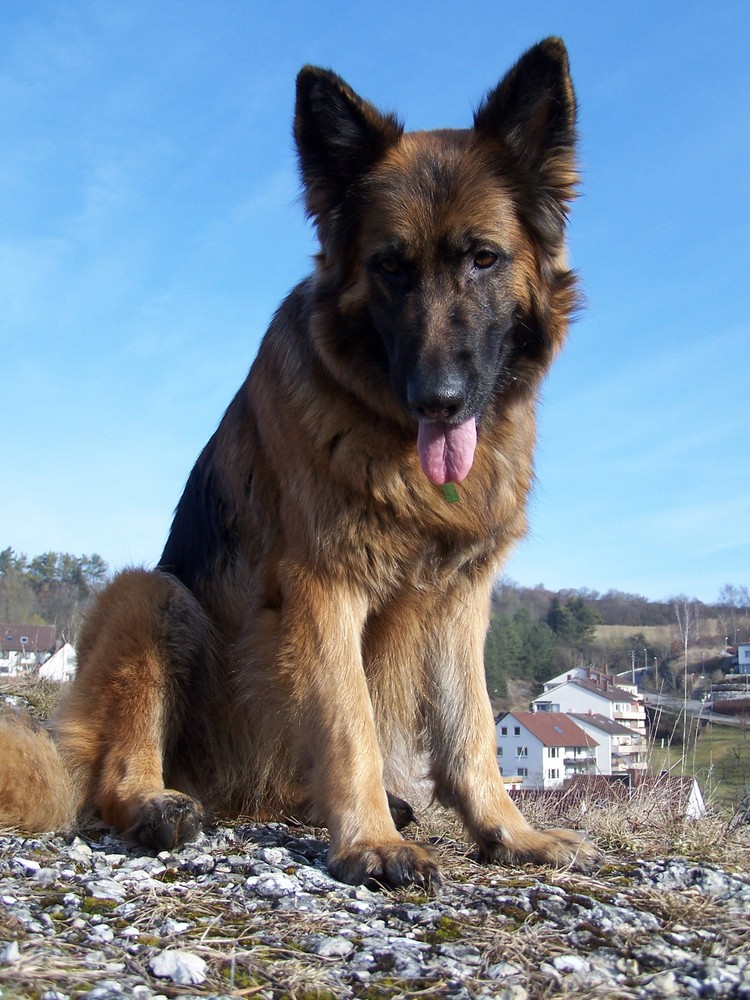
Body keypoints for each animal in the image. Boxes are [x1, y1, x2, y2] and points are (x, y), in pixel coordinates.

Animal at [1, 37, 600, 884]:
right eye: (390, 266)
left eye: (484, 259)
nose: (439, 400)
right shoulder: (324, 588)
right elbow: (350, 723)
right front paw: (372, 841)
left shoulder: (459, 600)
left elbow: (474, 727)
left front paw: (509, 833)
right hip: (151, 595)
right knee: (110, 775)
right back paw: (157, 806)